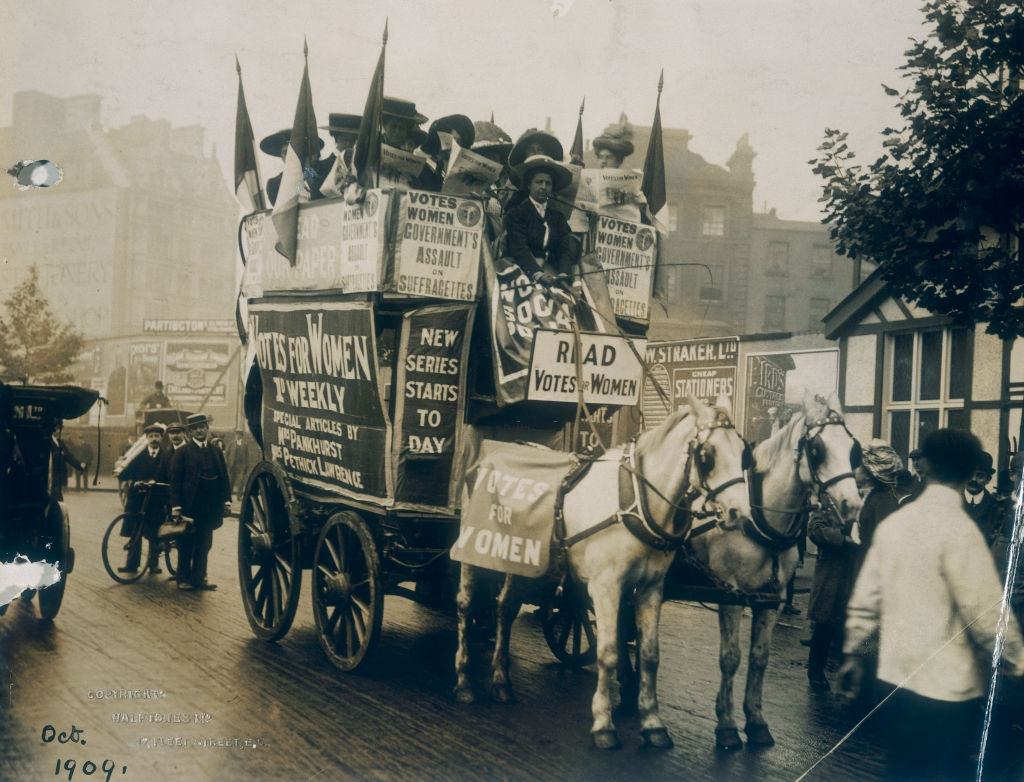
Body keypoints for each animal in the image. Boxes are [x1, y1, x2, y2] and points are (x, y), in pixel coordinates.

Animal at [456, 397, 753, 753]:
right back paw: (464, 682)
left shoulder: (651, 588)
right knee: (466, 605)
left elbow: (650, 655)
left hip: (519, 558)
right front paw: (604, 723)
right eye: (707, 454)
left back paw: (501, 681)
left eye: (744, 452)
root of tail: (489, 454)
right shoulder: (606, 587)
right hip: (474, 548)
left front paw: (652, 723)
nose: (739, 513)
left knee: (505, 608)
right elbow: (608, 653)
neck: (635, 500)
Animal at [688, 393, 864, 749]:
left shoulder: (771, 598)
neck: (758, 517)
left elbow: (759, 657)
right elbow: (731, 657)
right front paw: (727, 726)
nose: (852, 505)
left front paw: (756, 722)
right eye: (816, 448)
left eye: (854, 448)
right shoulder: (731, 594)